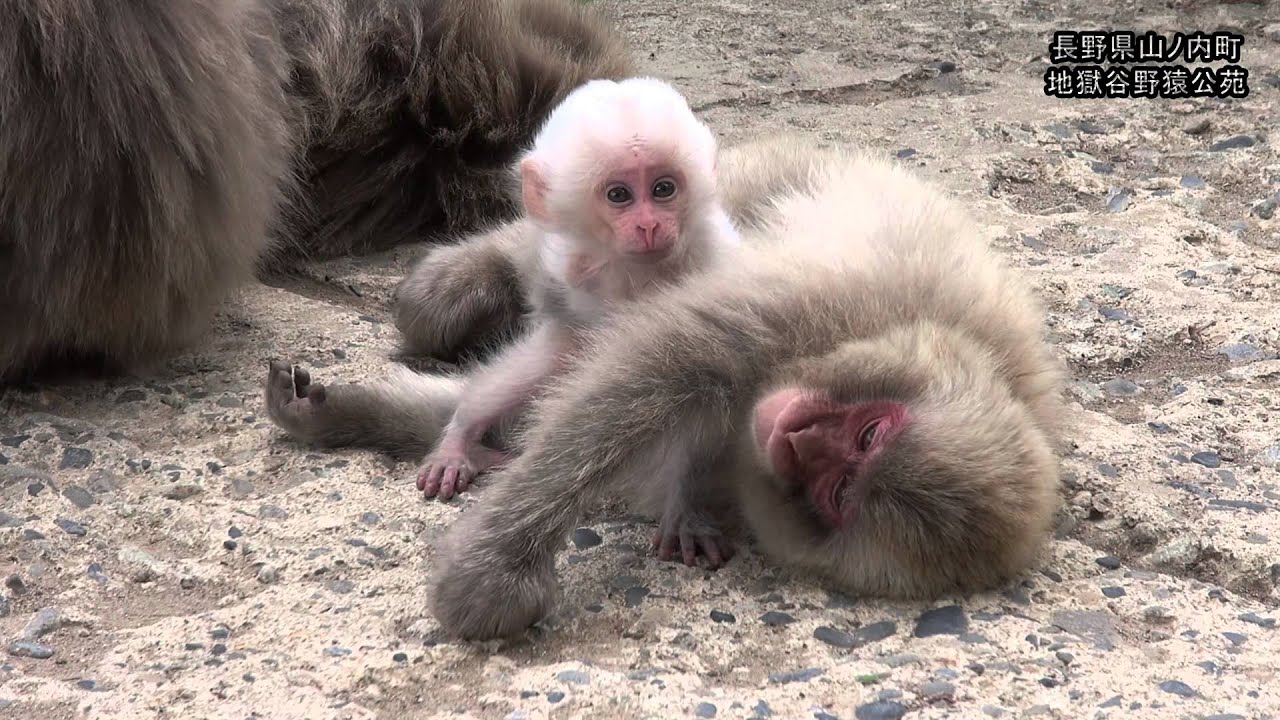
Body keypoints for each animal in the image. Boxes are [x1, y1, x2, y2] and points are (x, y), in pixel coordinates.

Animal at [265, 77, 743, 502]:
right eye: (619, 195)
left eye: (664, 189)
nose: (649, 226)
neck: (638, 277)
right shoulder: (572, 269)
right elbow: (561, 345)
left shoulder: (709, 256)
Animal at [424, 137, 1067, 641]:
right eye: (871, 432)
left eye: (838, 491)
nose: (797, 440)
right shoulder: (830, 300)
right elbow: (659, 364)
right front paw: (494, 570)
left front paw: (686, 511)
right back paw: (457, 290)